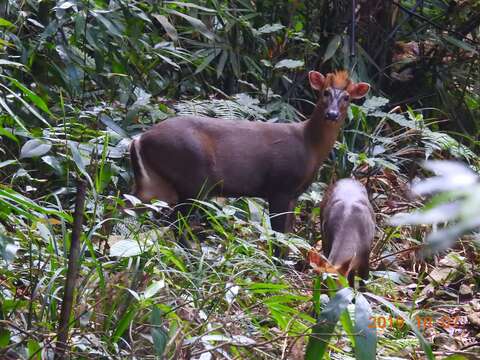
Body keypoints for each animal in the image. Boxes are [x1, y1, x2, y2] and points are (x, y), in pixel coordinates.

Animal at [129, 70, 370, 255]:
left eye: (347, 97)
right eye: (325, 92)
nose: (332, 114)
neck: (309, 147)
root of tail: (140, 139)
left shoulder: (295, 193)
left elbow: (288, 233)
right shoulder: (280, 187)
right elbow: (278, 233)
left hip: (153, 183)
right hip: (194, 179)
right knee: (174, 222)